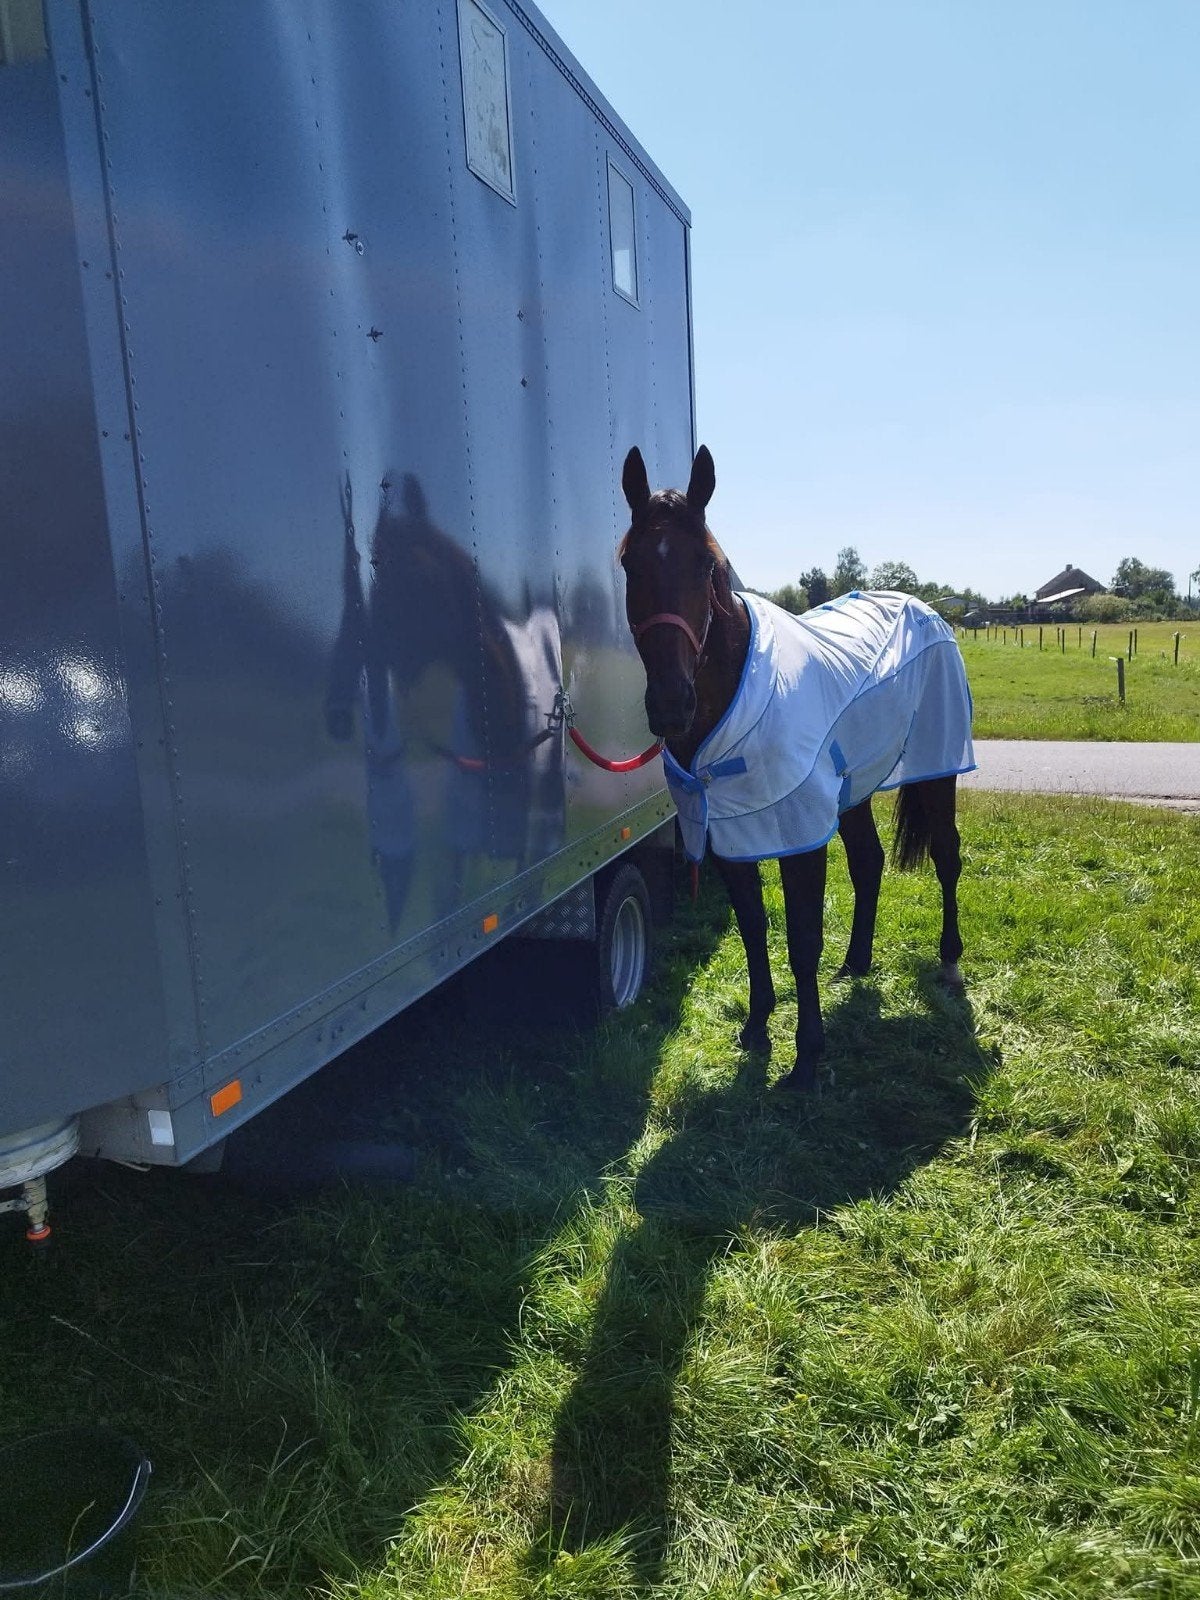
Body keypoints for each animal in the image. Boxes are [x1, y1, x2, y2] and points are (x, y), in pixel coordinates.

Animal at [618, 445, 975, 1092]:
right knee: (869, 861)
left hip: (939, 770)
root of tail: (924, 609)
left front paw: (808, 1056)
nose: (671, 705)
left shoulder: (798, 834)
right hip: (854, 788)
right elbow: (754, 929)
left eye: (706, 565)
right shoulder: (729, 834)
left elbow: (802, 938)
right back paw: (856, 963)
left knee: (946, 855)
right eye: (630, 563)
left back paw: (951, 963)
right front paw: (757, 1027)